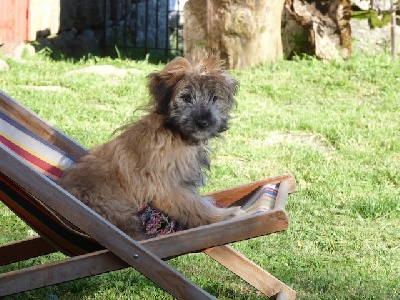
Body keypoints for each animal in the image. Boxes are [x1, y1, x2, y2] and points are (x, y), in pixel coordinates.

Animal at [57, 49, 242, 241]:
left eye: (214, 98)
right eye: (186, 97)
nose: (203, 122)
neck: (173, 133)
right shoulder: (167, 188)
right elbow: (195, 206)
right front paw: (224, 215)